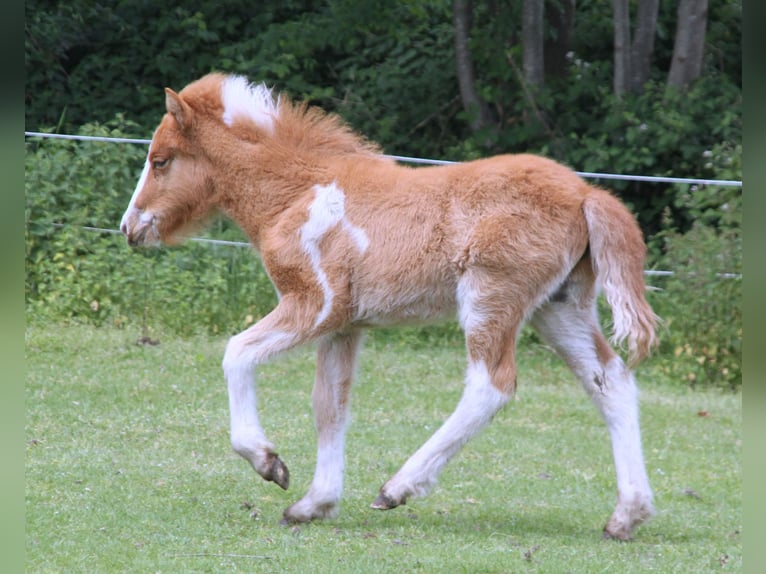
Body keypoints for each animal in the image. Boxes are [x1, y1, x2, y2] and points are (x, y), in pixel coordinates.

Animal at [121, 74, 660, 544]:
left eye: (161, 160)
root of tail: (586, 192)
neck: (298, 192)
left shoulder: (316, 304)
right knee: (610, 381)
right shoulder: (344, 326)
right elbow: (329, 407)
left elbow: (237, 353)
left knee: (491, 385)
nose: (130, 227)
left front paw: (268, 462)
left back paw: (398, 487)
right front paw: (314, 504)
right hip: (559, 307)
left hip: (491, 298)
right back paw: (627, 516)